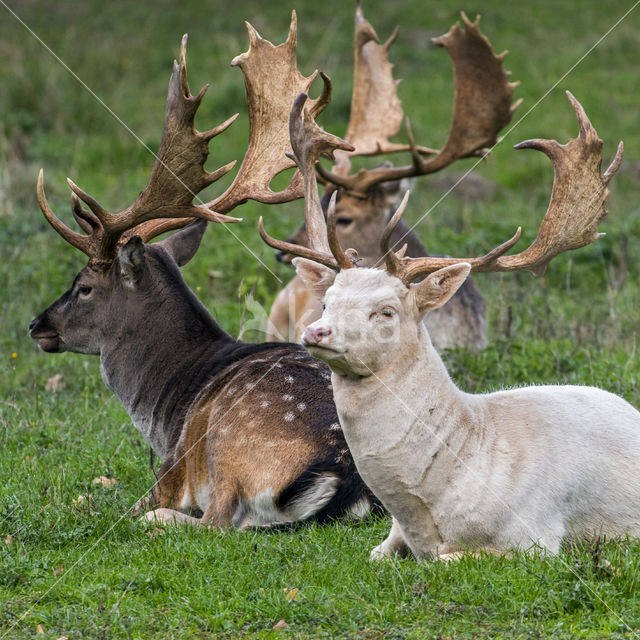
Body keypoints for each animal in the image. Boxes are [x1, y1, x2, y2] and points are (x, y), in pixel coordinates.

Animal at [27, 22, 380, 528]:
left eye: (84, 287)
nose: (37, 325)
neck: (166, 413)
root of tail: (344, 473)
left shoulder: (167, 473)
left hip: (228, 441)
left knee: (216, 523)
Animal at [258, 90, 640, 560]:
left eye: (387, 310)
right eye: (326, 301)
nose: (315, 332)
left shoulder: (535, 538)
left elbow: (446, 560)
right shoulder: (391, 538)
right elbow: (380, 555)